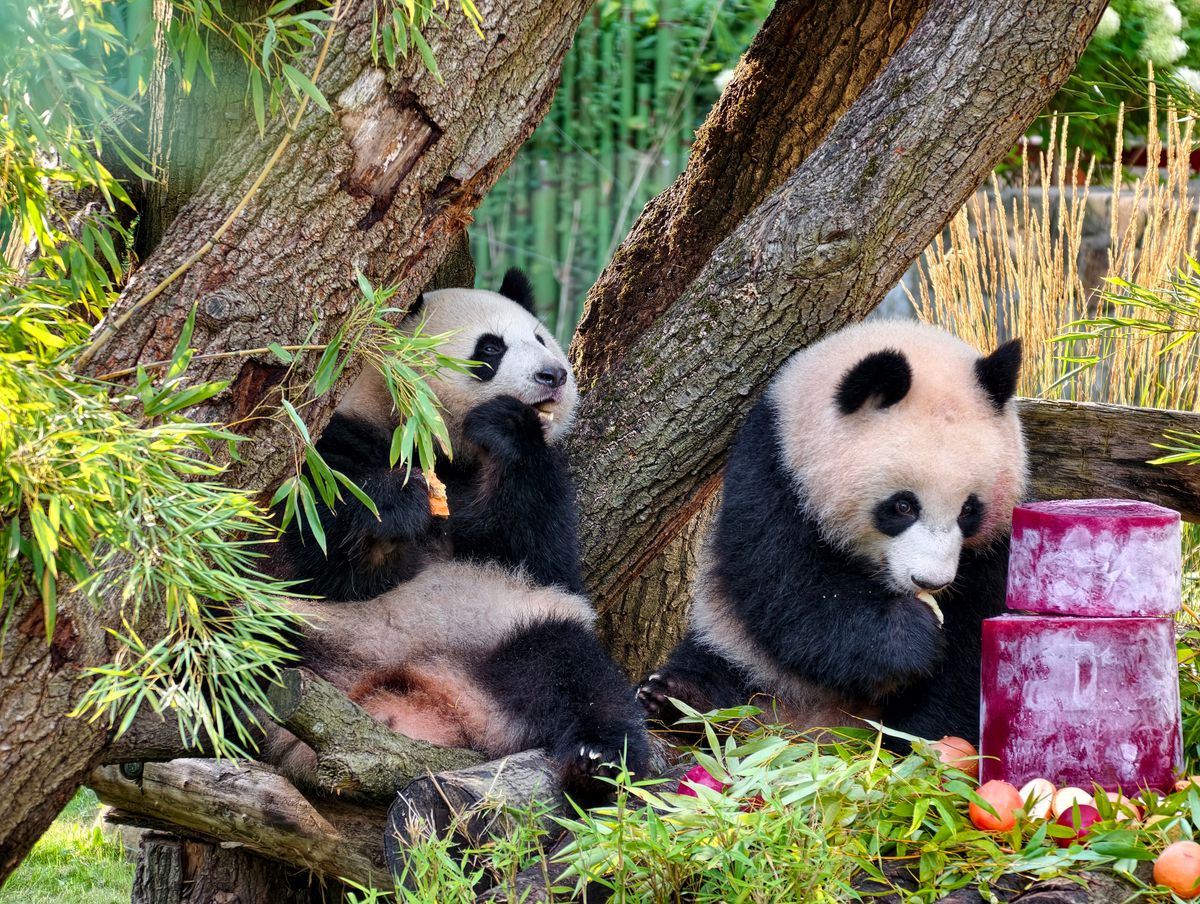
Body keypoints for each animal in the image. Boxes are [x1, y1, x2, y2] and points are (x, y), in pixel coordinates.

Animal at [267, 269, 649, 802]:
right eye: (490, 349)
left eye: (540, 338)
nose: (554, 375)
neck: (440, 444)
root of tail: (431, 695)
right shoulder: (337, 441)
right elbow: (311, 550)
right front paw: (396, 506)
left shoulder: (538, 500)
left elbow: (538, 551)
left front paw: (509, 426)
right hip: (304, 637)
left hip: (516, 628)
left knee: (581, 678)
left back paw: (598, 760)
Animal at [637, 320, 1026, 747]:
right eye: (903, 506)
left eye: (969, 510)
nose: (930, 581)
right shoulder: (773, 468)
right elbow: (790, 587)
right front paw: (907, 636)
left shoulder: (995, 543)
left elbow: (972, 643)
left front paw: (916, 735)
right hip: (735, 645)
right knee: (713, 666)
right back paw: (680, 700)